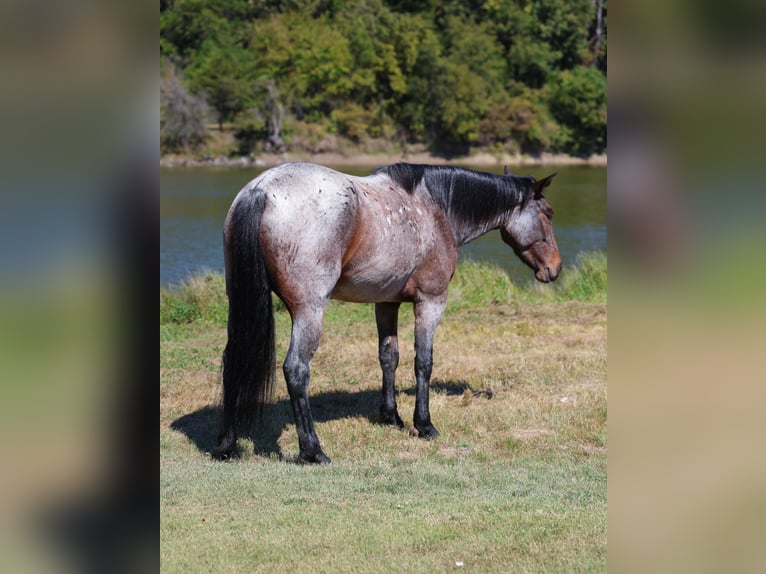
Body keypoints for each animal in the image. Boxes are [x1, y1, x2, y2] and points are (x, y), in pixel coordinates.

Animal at [216, 162, 561, 463]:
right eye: (548, 214)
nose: (554, 269)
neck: (434, 208)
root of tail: (261, 190)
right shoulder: (431, 302)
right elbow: (423, 362)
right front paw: (424, 424)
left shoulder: (386, 303)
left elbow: (388, 357)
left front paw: (391, 416)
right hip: (309, 311)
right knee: (296, 369)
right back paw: (312, 451)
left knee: (235, 360)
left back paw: (226, 445)